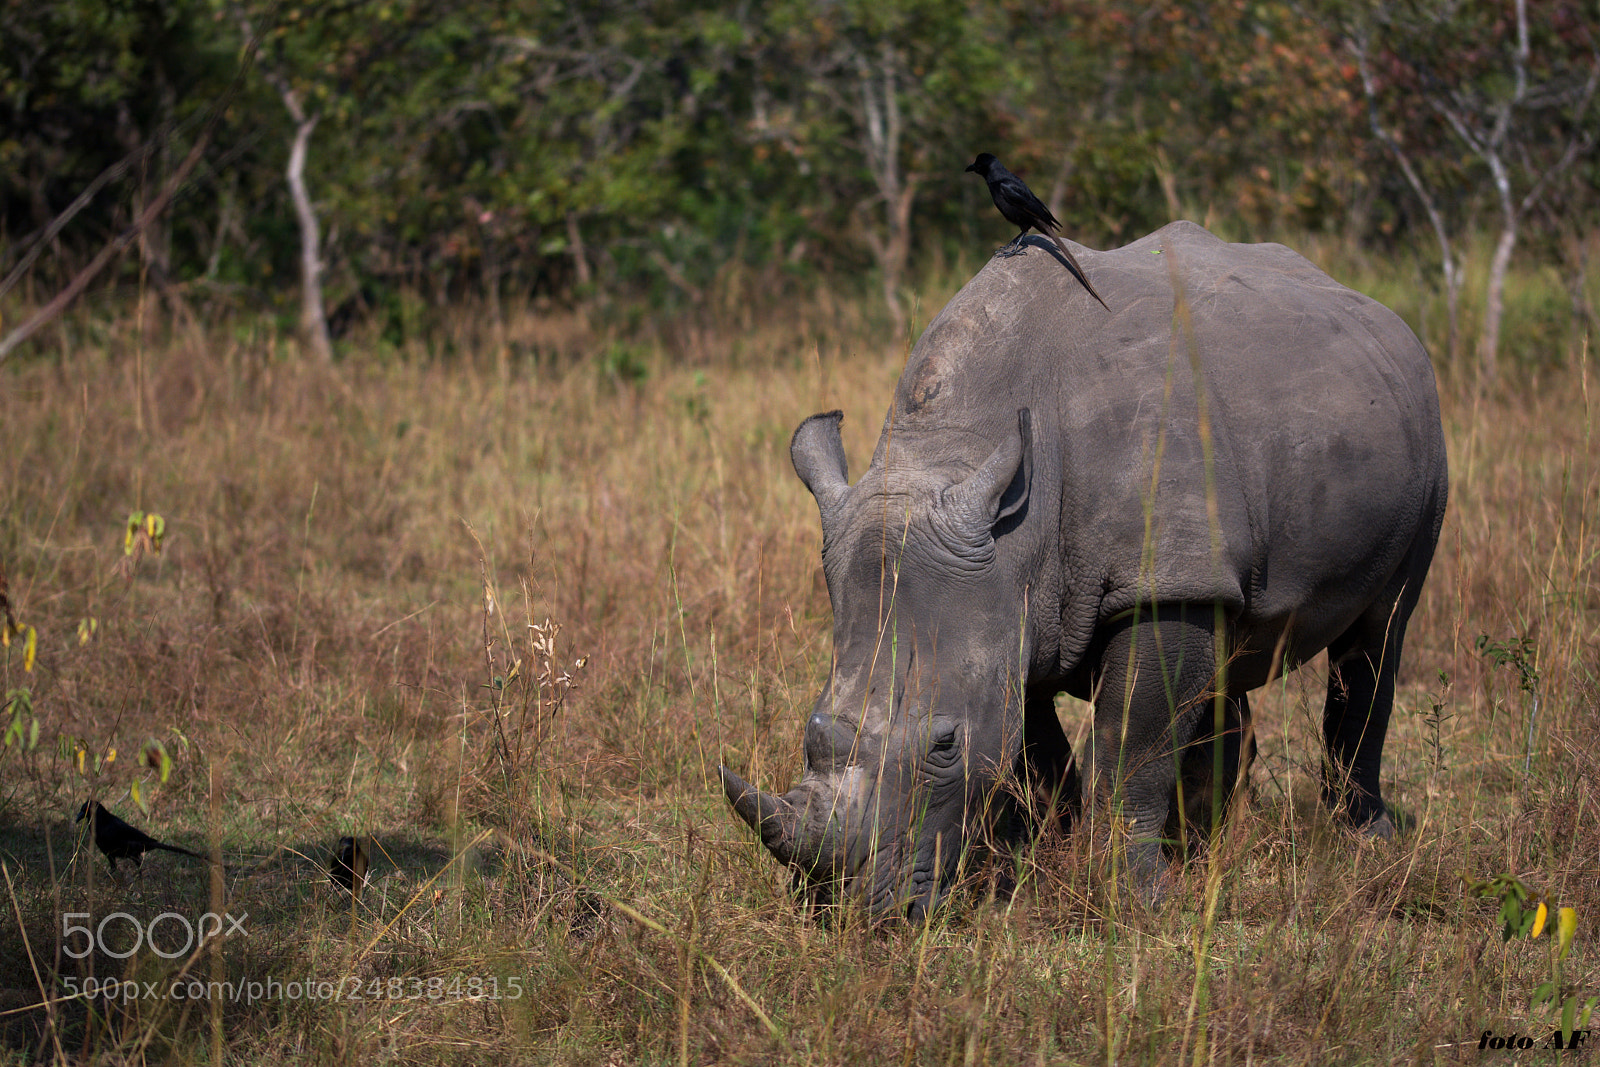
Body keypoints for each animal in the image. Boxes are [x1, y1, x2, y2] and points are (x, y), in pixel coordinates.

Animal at [721, 221, 1448, 919]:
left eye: (944, 745)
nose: (843, 910)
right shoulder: (1018, 601)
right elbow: (1032, 746)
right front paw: (1039, 865)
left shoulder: (1151, 578)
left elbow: (1135, 744)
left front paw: (1135, 897)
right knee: (1229, 636)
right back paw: (1204, 845)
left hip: (1423, 441)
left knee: (1381, 631)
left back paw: (1364, 845)